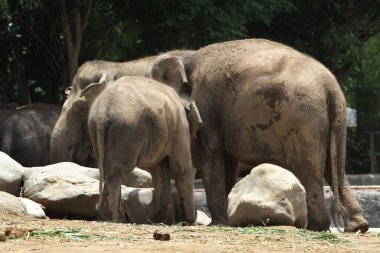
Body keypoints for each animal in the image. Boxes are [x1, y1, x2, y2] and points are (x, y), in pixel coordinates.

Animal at [151, 38, 368, 233]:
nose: (175, 222)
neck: (189, 55)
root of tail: (329, 86)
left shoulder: (206, 105)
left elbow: (211, 154)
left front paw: (218, 224)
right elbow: (228, 161)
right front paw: (228, 220)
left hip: (303, 119)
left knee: (309, 170)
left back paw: (316, 227)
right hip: (337, 118)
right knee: (336, 168)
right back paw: (358, 227)